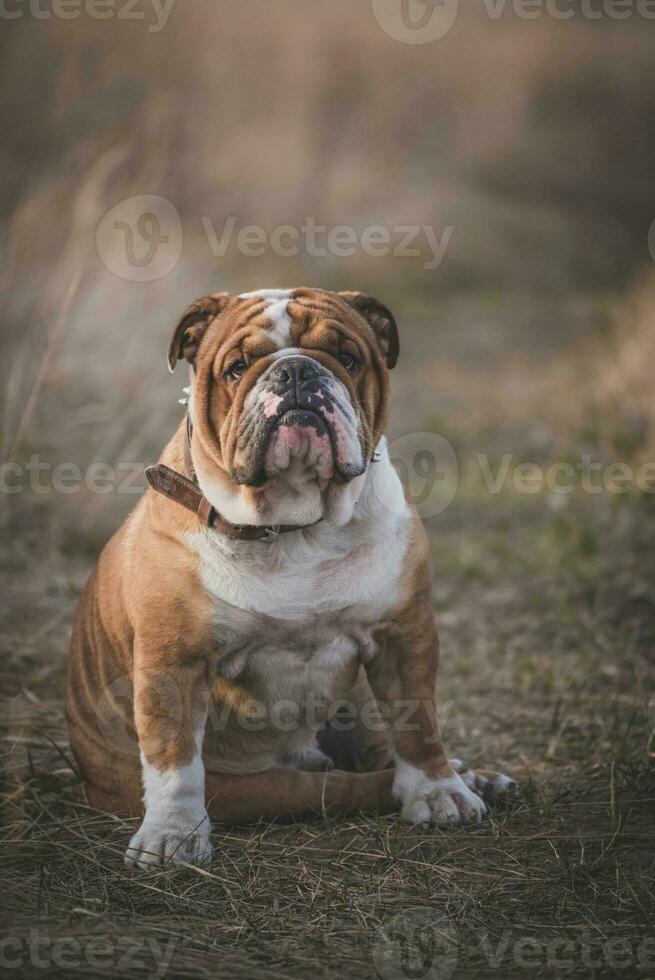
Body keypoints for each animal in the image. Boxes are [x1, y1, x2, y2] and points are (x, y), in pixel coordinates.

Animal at [68, 288, 516, 868]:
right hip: (252, 788)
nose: (297, 371)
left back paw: (468, 779)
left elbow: (419, 726)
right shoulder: (174, 658)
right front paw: (173, 833)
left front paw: (438, 791)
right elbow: (174, 759)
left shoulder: (404, 633)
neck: (292, 525)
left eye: (347, 358)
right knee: (334, 788)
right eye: (236, 368)